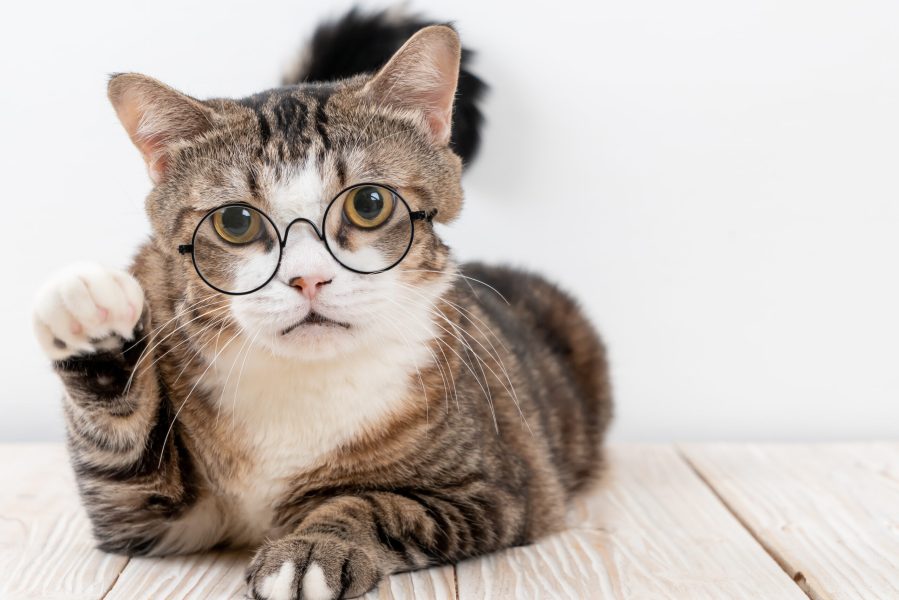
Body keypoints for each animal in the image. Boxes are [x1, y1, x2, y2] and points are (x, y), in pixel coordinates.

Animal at [31, 9, 616, 600]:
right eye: (235, 221)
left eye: (369, 203)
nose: (308, 278)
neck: (303, 386)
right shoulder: (146, 519)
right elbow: (125, 473)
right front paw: (91, 320)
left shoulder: (498, 490)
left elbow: (376, 502)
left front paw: (313, 546)